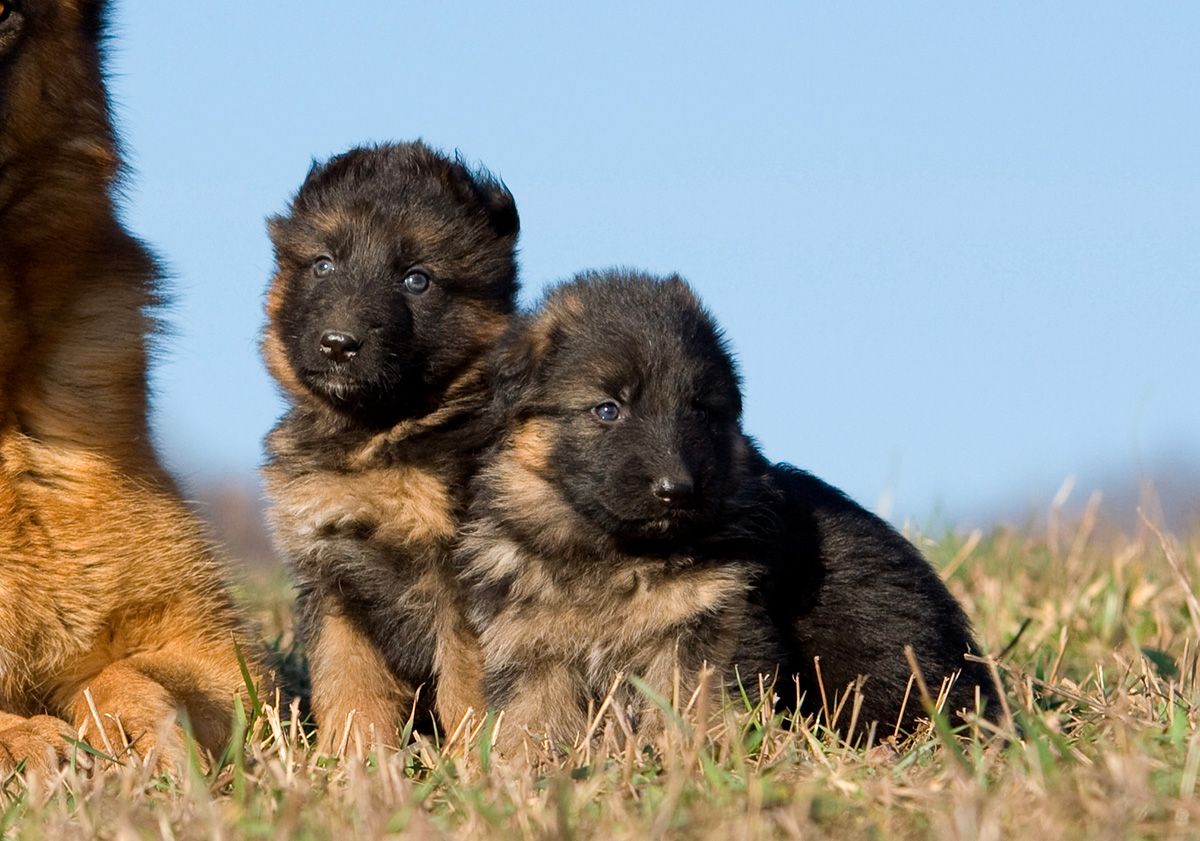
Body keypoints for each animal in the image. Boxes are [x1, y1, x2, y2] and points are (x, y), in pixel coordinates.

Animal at [262, 139, 520, 748]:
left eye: (416, 280)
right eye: (324, 264)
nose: (338, 344)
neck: (376, 438)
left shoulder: (465, 581)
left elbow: (467, 688)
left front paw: (475, 762)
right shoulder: (333, 578)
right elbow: (347, 683)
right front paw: (353, 757)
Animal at [453, 268, 998, 748]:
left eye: (699, 410)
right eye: (608, 410)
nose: (677, 490)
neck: (616, 555)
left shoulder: (711, 626)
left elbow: (697, 707)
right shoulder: (532, 650)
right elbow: (528, 724)